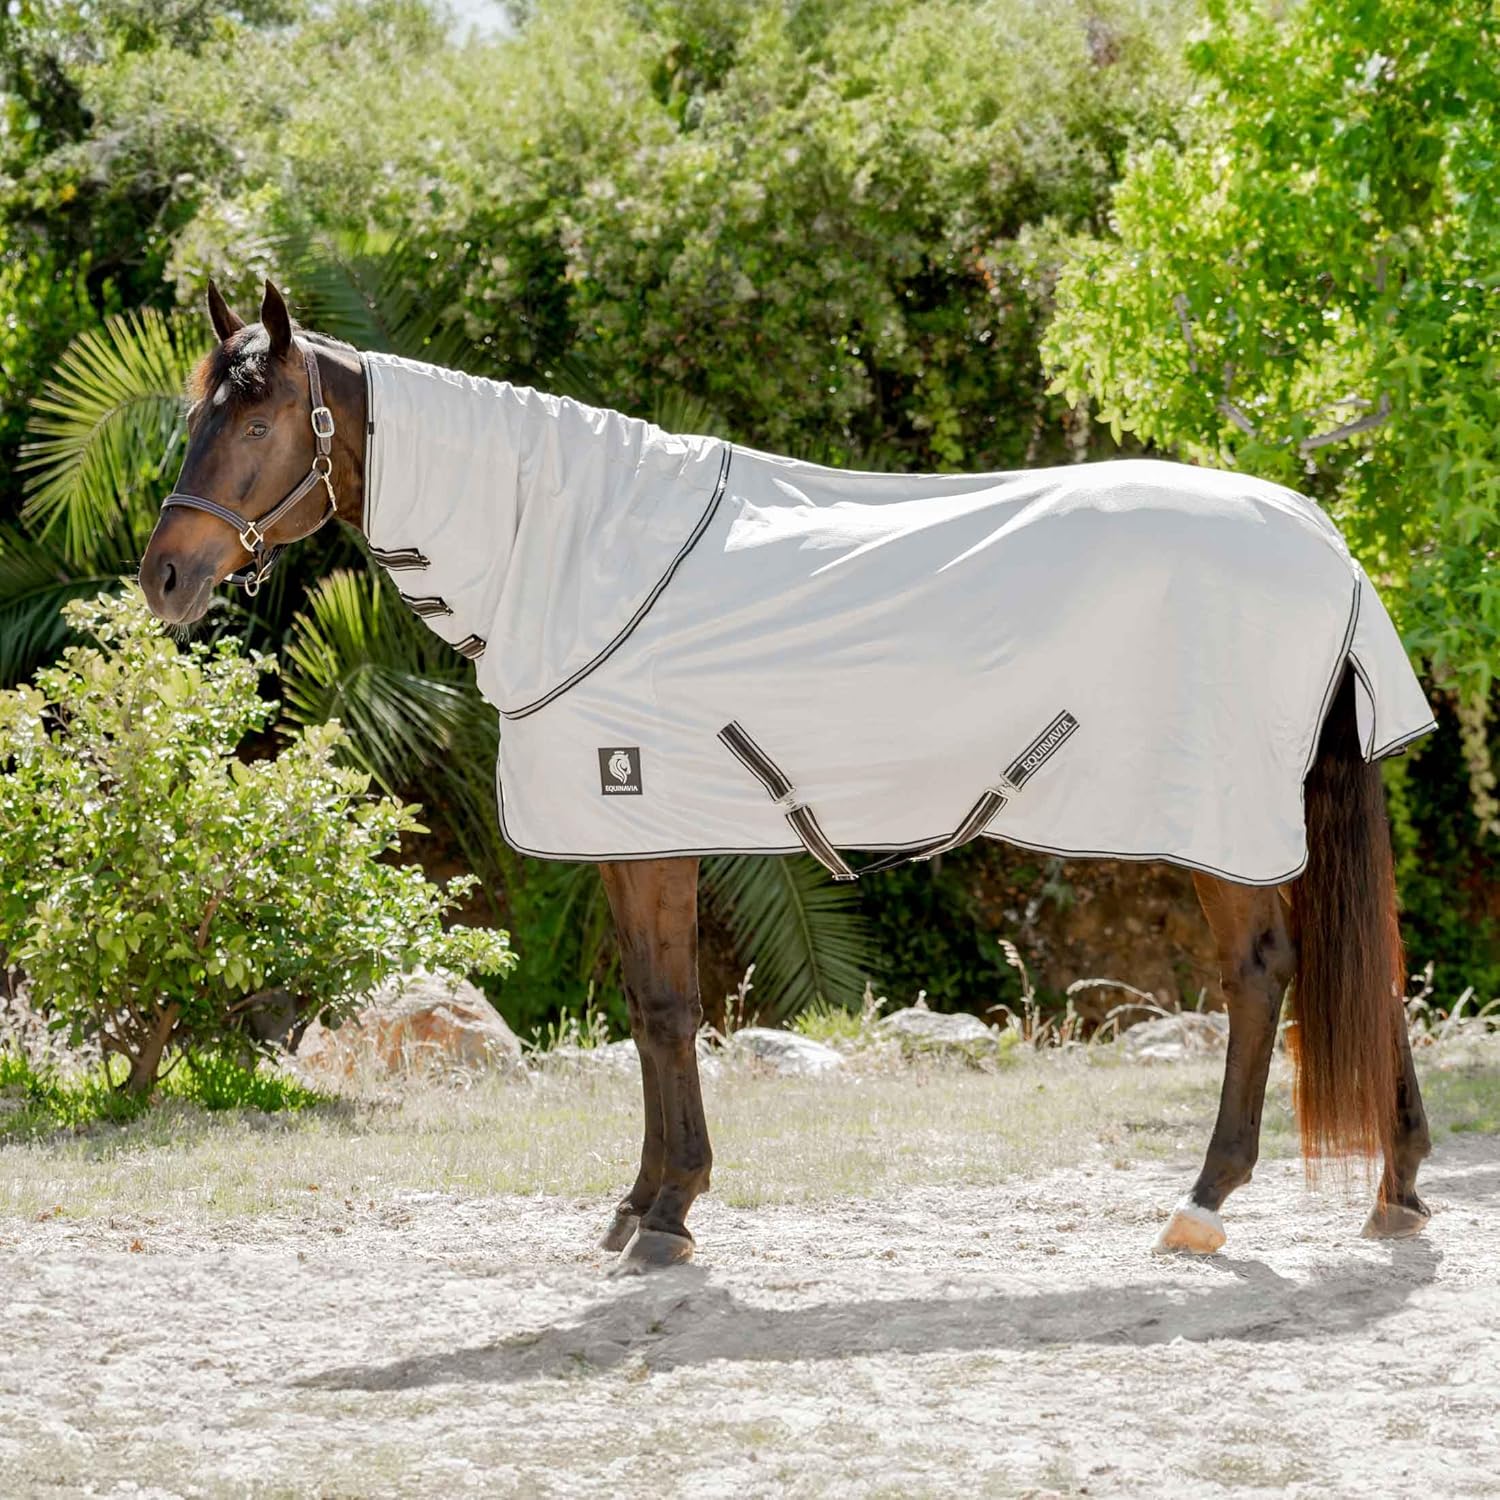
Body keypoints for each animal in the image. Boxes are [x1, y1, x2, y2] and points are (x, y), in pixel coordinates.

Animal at [138, 279, 1435, 1269]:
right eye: (197, 416)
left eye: (254, 425)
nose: (164, 577)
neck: (573, 553)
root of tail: (1325, 543)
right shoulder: (628, 838)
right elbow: (652, 1012)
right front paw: (642, 1206)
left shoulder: (644, 826)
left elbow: (667, 1012)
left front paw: (666, 1216)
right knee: (1362, 966)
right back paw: (1398, 1192)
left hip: (1220, 818)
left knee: (1263, 973)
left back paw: (1206, 1202)